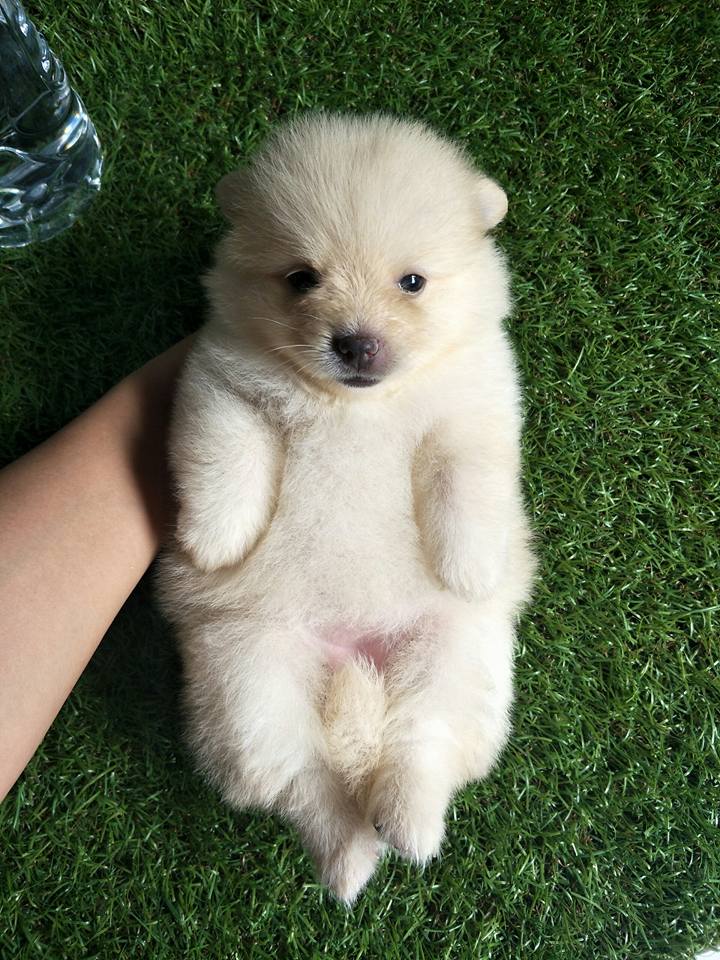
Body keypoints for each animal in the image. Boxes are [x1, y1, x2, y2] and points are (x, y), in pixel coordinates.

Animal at [158, 113, 535, 903]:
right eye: (303, 278)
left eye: (412, 282)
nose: (356, 342)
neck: (355, 408)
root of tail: (351, 664)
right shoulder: (220, 386)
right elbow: (224, 456)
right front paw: (214, 541)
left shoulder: (472, 409)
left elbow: (466, 482)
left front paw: (472, 566)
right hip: (249, 669)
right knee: (302, 780)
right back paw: (350, 857)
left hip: (450, 651)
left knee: (421, 741)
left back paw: (407, 821)